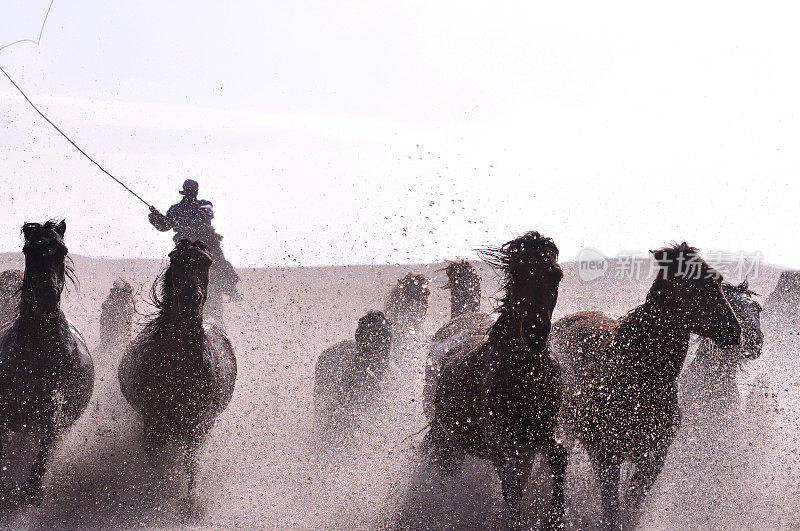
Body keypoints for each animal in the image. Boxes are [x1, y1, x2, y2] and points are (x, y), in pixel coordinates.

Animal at [0, 222, 94, 504]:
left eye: (62, 250)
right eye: (28, 250)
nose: (46, 297)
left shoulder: (56, 401)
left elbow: (48, 436)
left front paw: (32, 487)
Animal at [119, 239, 236, 496]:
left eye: (207, 261)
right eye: (176, 260)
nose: (191, 299)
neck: (179, 365)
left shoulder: (198, 425)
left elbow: (191, 468)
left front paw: (189, 502)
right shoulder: (152, 424)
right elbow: (153, 463)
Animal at [424, 234, 568, 531]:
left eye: (556, 275)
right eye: (517, 274)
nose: (535, 334)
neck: (524, 376)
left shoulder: (541, 432)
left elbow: (559, 457)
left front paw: (555, 517)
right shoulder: (499, 439)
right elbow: (512, 487)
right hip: (447, 442)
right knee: (445, 475)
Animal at [552, 243, 740, 528]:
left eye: (717, 280)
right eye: (688, 282)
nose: (734, 330)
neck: (641, 379)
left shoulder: (653, 458)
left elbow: (632, 507)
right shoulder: (608, 456)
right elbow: (612, 510)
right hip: (566, 429)